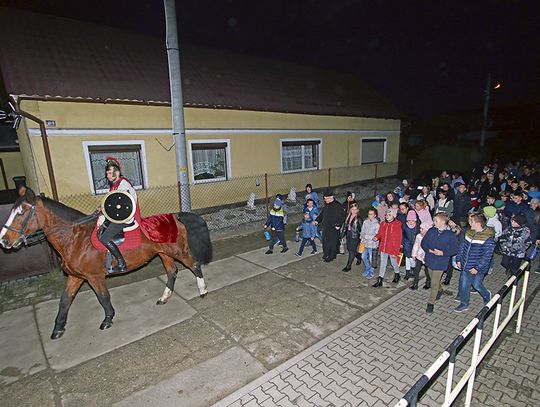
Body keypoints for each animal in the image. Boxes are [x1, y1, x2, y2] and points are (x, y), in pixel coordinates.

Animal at [1, 190, 212, 340]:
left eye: (21, 212)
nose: (4, 240)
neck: (75, 238)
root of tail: (176, 216)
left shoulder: (94, 277)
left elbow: (103, 297)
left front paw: (108, 319)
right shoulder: (76, 277)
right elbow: (65, 301)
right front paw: (58, 329)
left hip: (178, 252)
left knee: (194, 265)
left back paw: (202, 291)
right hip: (164, 253)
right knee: (172, 272)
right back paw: (164, 297)